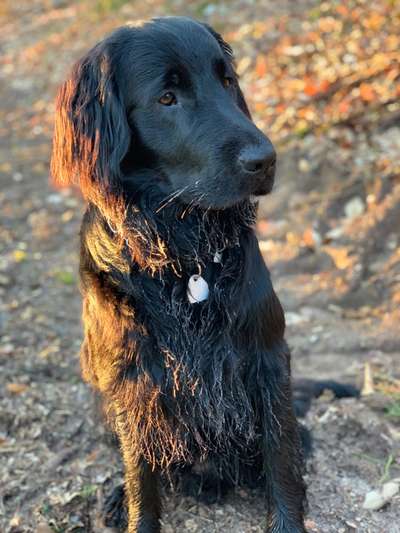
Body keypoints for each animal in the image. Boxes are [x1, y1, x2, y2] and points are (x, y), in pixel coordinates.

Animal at [52, 15, 310, 528]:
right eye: (167, 98)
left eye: (226, 80)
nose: (266, 159)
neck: (183, 254)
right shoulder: (133, 380)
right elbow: (140, 475)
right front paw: (136, 514)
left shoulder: (267, 355)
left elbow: (281, 454)